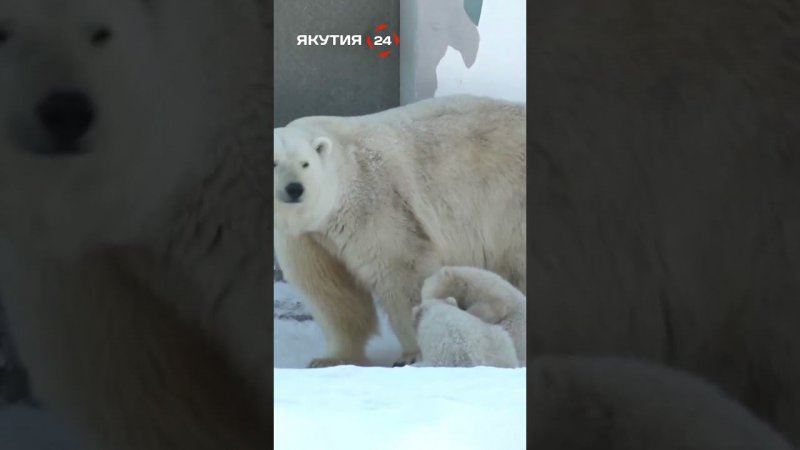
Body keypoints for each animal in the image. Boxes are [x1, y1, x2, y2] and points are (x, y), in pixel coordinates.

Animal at [272, 93, 528, 368]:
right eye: (274, 162)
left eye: (305, 164)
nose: (295, 188)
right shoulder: (307, 239)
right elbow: (330, 292)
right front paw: (330, 359)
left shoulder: (376, 203)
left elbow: (400, 272)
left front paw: (412, 353)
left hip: (512, 206)